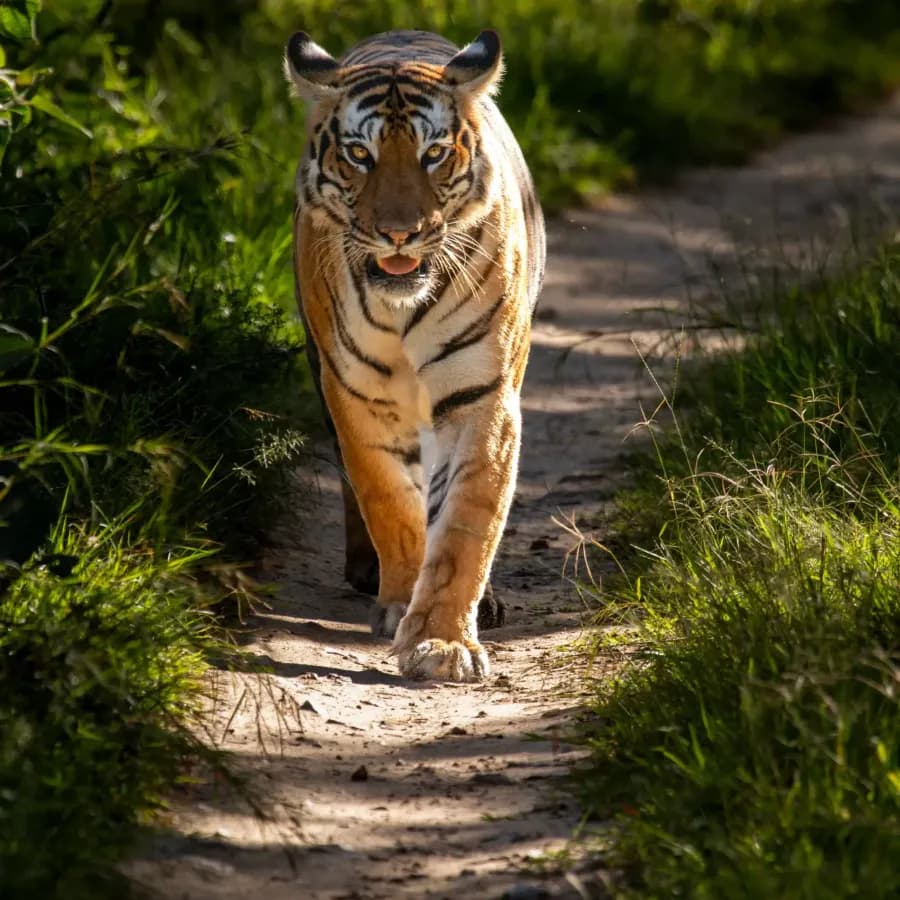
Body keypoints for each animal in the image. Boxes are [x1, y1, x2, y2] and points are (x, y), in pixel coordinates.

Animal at [285, 28, 545, 682]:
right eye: (359, 154)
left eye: (433, 154)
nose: (400, 233)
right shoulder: (355, 393)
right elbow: (390, 501)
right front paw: (402, 604)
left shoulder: (482, 395)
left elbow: (466, 520)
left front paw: (443, 642)